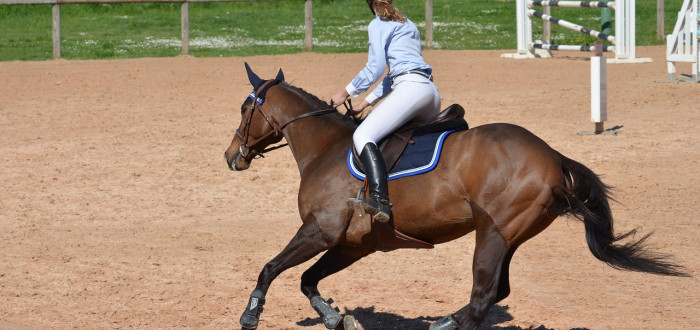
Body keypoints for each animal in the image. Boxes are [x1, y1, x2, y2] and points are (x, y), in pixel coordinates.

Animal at [226, 63, 688, 328]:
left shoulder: (320, 230)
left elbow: (271, 268)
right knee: (494, 293)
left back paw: (450, 321)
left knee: (483, 297)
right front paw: (334, 317)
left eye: (245, 108)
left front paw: (251, 312)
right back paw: (446, 320)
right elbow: (308, 280)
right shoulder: (354, 244)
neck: (325, 147)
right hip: (509, 236)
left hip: (493, 233)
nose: (232, 156)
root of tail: (553, 156)